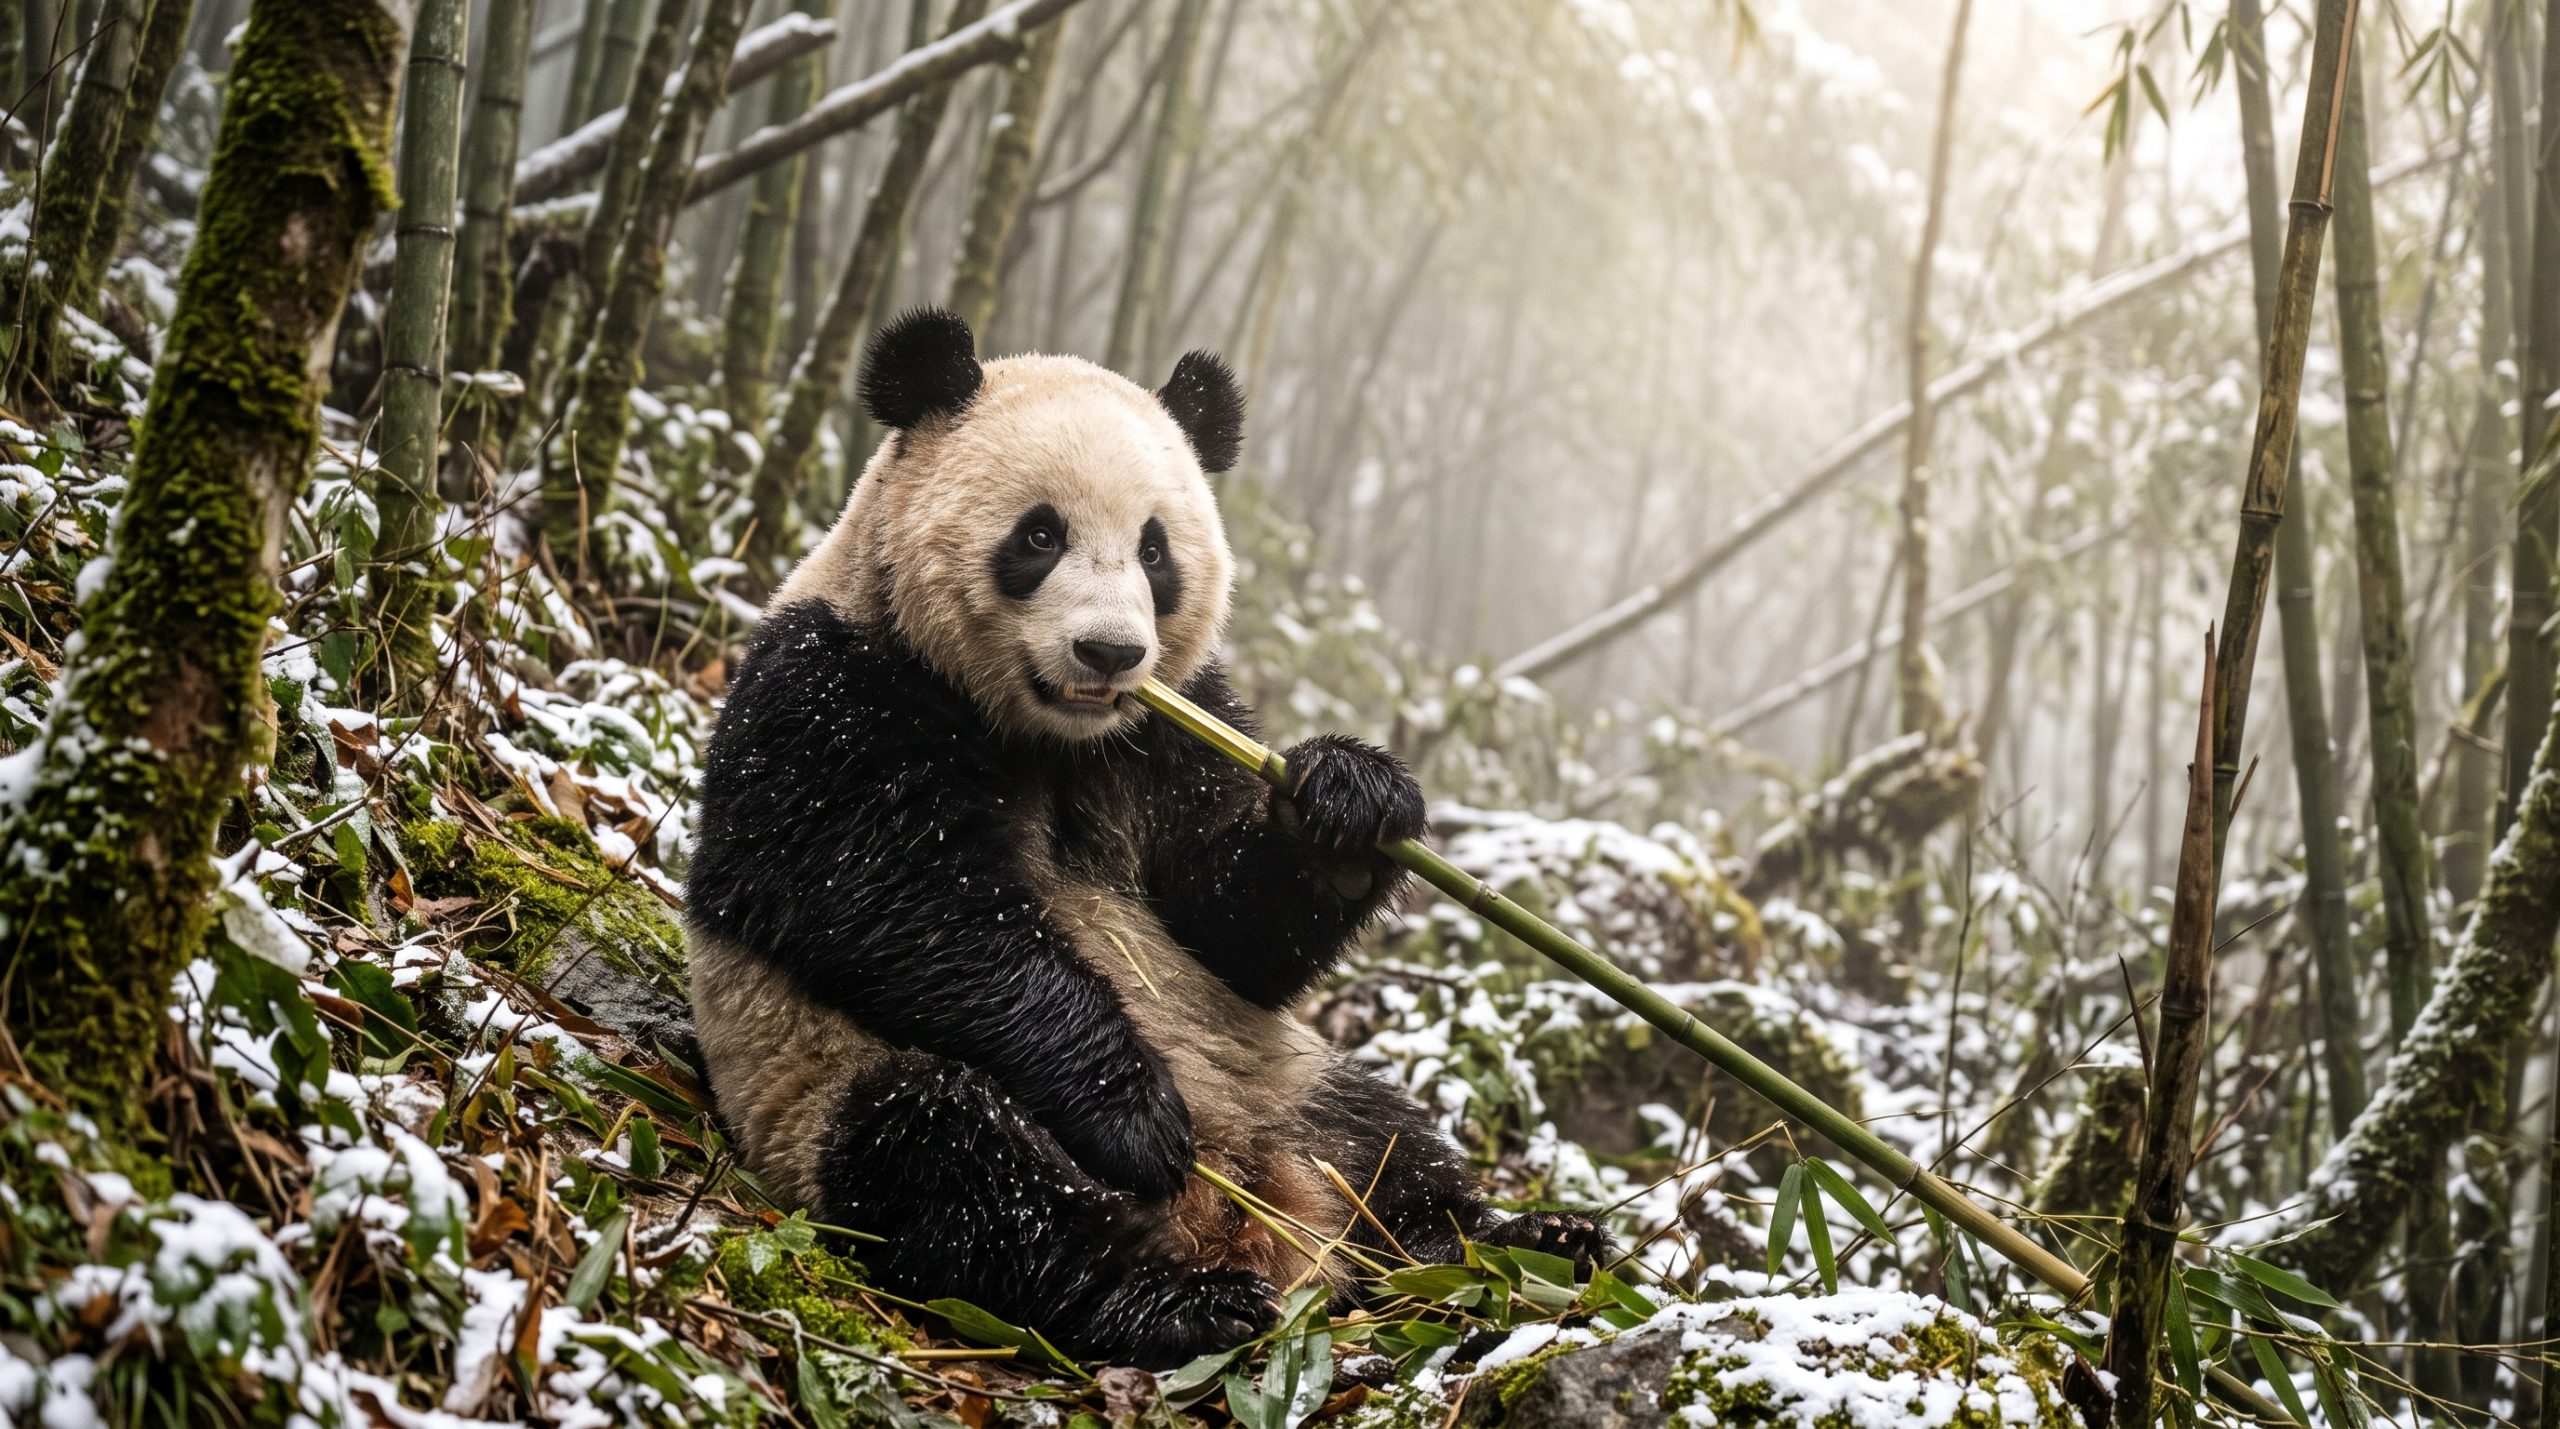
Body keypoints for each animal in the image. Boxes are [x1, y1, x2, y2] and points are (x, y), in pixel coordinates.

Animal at [684, 308, 1605, 1369]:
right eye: (1040, 534)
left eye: (1156, 552)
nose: (1111, 652)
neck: (1049, 733)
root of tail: (1264, 1222)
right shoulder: (832, 687)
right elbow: (884, 895)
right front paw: (1133, 1113)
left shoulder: (1179, 726)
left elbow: (1230, 927)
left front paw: (1347, 801)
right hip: (818, 1091)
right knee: (961, 1166)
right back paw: (1175, 1300)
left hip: (1285, 1076)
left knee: (1386, 1144)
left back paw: (1516, 1240)